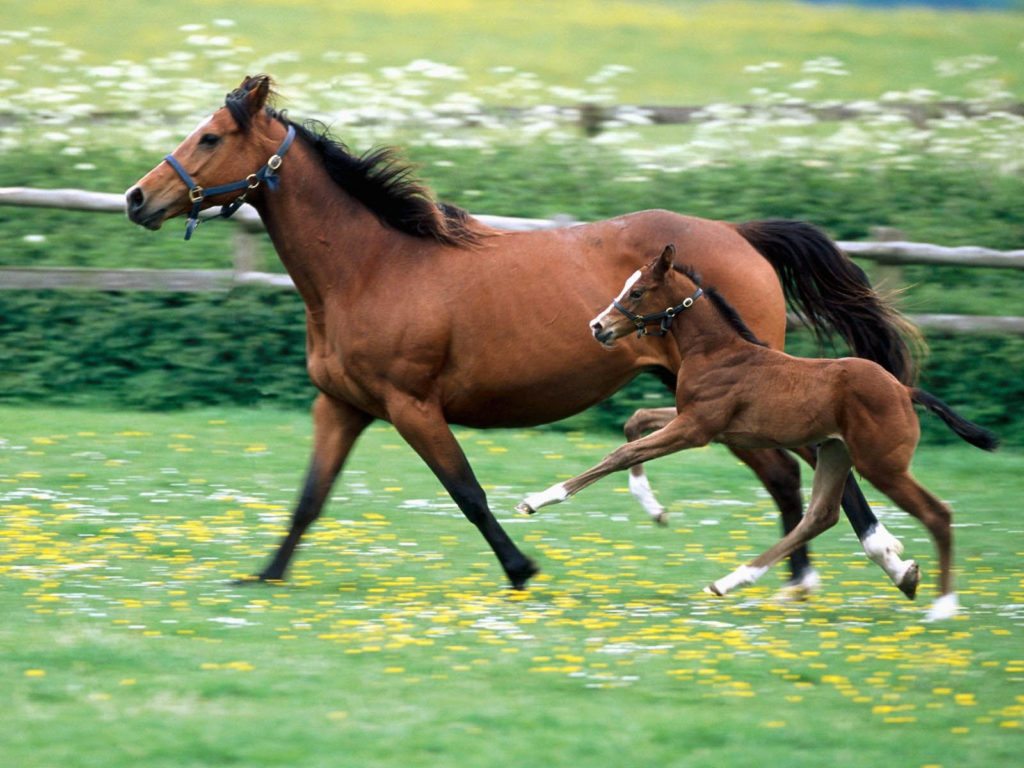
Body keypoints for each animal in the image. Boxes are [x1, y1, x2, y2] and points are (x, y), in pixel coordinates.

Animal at [125, 74, 922, 594]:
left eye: (210, 137)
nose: (137, 199)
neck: (372, 267)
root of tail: (739, 233)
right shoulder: (342, 406)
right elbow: (310, 498)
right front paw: (263, 576)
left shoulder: (412, 405)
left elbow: (467, 492)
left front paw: (522, 568)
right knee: (791, 475)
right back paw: (803, 579)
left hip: (738, 391)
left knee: (810, 471)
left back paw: (876, 563)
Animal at [517, 244, 998, 620]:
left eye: (636, 291)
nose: (598, 327)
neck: (717, 350)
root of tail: (903, 389)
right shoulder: (698, 421)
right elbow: (635, 423)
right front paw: (651, 505)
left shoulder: (696, 428)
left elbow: (620, 454)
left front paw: (537, 500)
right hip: (835, 452)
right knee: (820, 516)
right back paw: (731, 581)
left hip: (882, 464)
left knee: (937, 513)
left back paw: (943, 606)